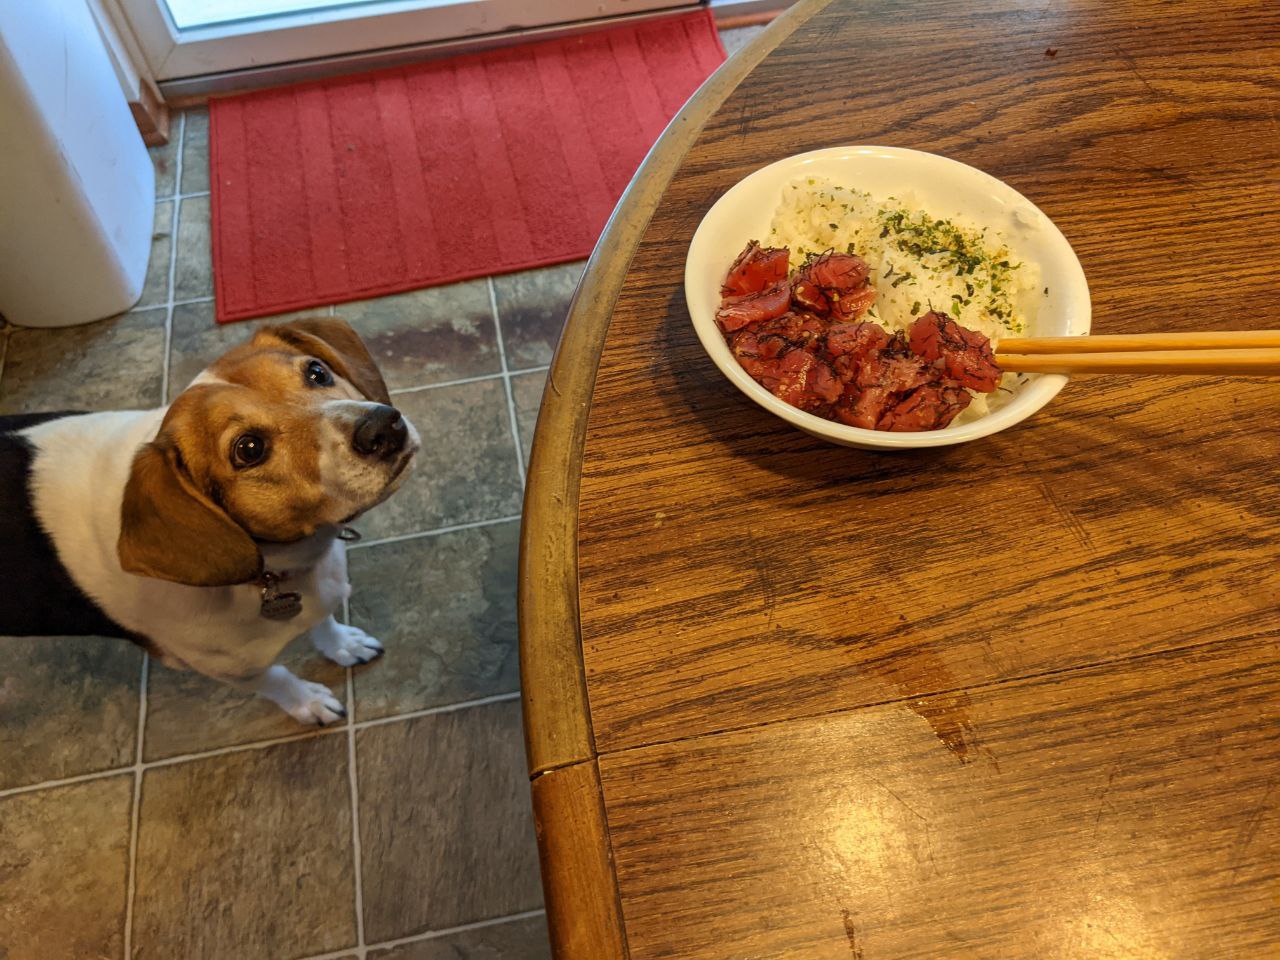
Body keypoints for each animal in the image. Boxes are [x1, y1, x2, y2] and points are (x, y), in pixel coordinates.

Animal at [0, 320, 419, 727]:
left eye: (317, 372)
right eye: (249, 448)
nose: (383, 427)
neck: (269, 572)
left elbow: (323, 622)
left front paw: (344, 645)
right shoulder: (231, 671)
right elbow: (278, 678)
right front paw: (308, 703)